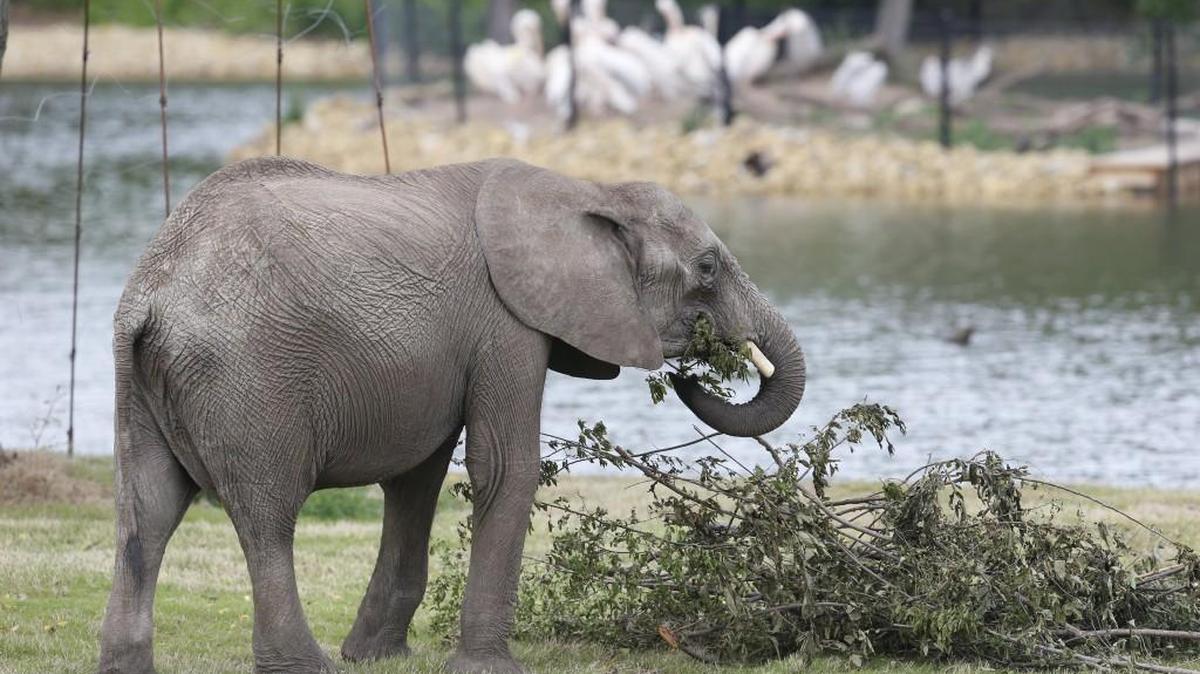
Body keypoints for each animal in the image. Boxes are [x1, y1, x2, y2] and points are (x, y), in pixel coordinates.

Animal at [96, 156, 806, 674]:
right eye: (707, 268)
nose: (689, 373)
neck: (584, 186)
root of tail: (150, 295)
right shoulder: (506, 323)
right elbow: (505, 468)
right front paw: (488, 667)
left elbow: (418, 479)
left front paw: (376, 656)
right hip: (247, 378)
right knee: (267, 514)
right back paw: (303, 666)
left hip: (139, 380)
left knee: (147, 512)